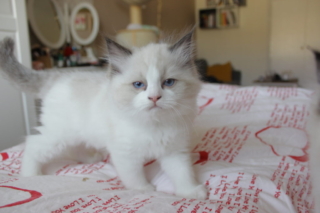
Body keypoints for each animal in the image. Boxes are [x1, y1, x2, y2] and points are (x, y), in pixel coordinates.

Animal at [0, 30, 208, 200]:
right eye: (139, 85)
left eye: (169, 82)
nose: (154, 97)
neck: (154, 124)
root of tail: (58, 76)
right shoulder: (125, 154)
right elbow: (134, 176)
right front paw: (144, 190)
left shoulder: (174, 151)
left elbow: (182, 173)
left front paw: (191, 192)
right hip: (57, 136)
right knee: (32, 145)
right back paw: (30, 175)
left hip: (75, 134)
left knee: (75, 148)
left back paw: (91, 159)